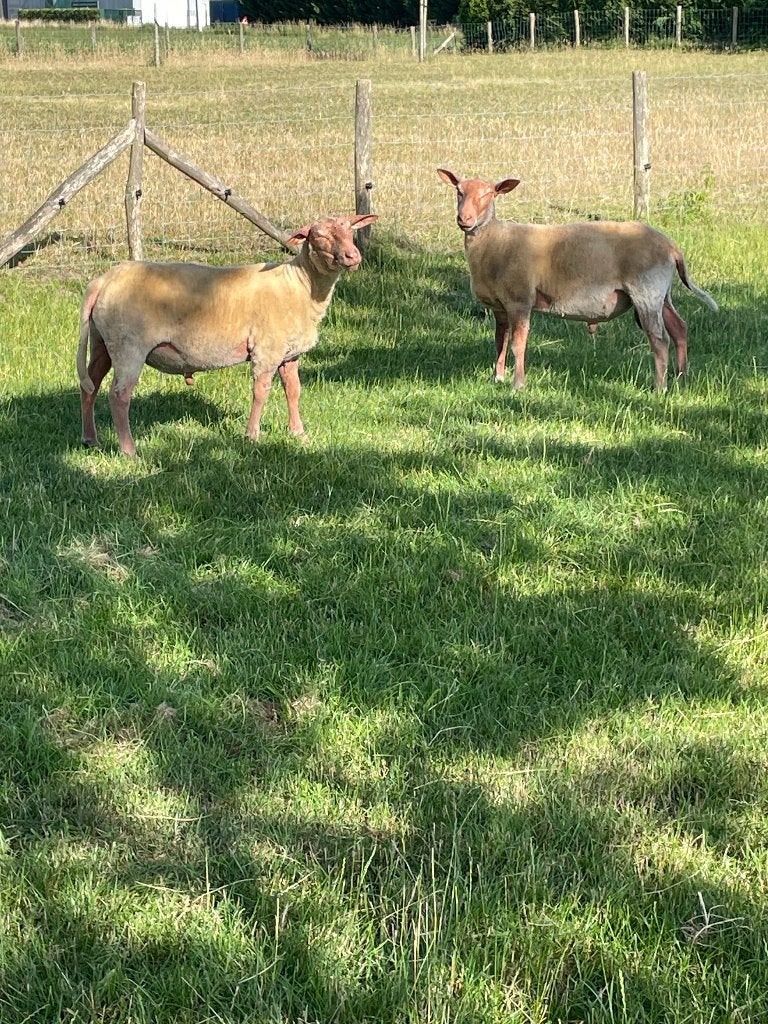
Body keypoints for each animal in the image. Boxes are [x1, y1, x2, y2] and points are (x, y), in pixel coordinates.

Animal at [77, 214, 378, 456]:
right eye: (320, 236)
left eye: (351, 231)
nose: (353, 257)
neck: (301, 285)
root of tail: (102, 281)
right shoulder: (266, 350)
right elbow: (261, 391)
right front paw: (252, 437)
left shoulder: (289, 354)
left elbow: (293, 391)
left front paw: (299, 434)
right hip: (129, 346)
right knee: (119, 395)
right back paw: (129, 451)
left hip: (103, 342)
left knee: (90, 385)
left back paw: (90, 439)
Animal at [437, 169, 718, 391]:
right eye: (459, 192)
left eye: (489, 194)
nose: (464, 219)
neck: (496, 241)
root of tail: (671, 246)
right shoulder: (499, 306)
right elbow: (499, 341)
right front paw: (498, 378)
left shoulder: (520, 300)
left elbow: (518, 344)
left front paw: (518, 385)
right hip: (662, 293)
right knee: (679, 328)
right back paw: (681, 378)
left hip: (646, 291)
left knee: (659, 339)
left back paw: (659, 387)